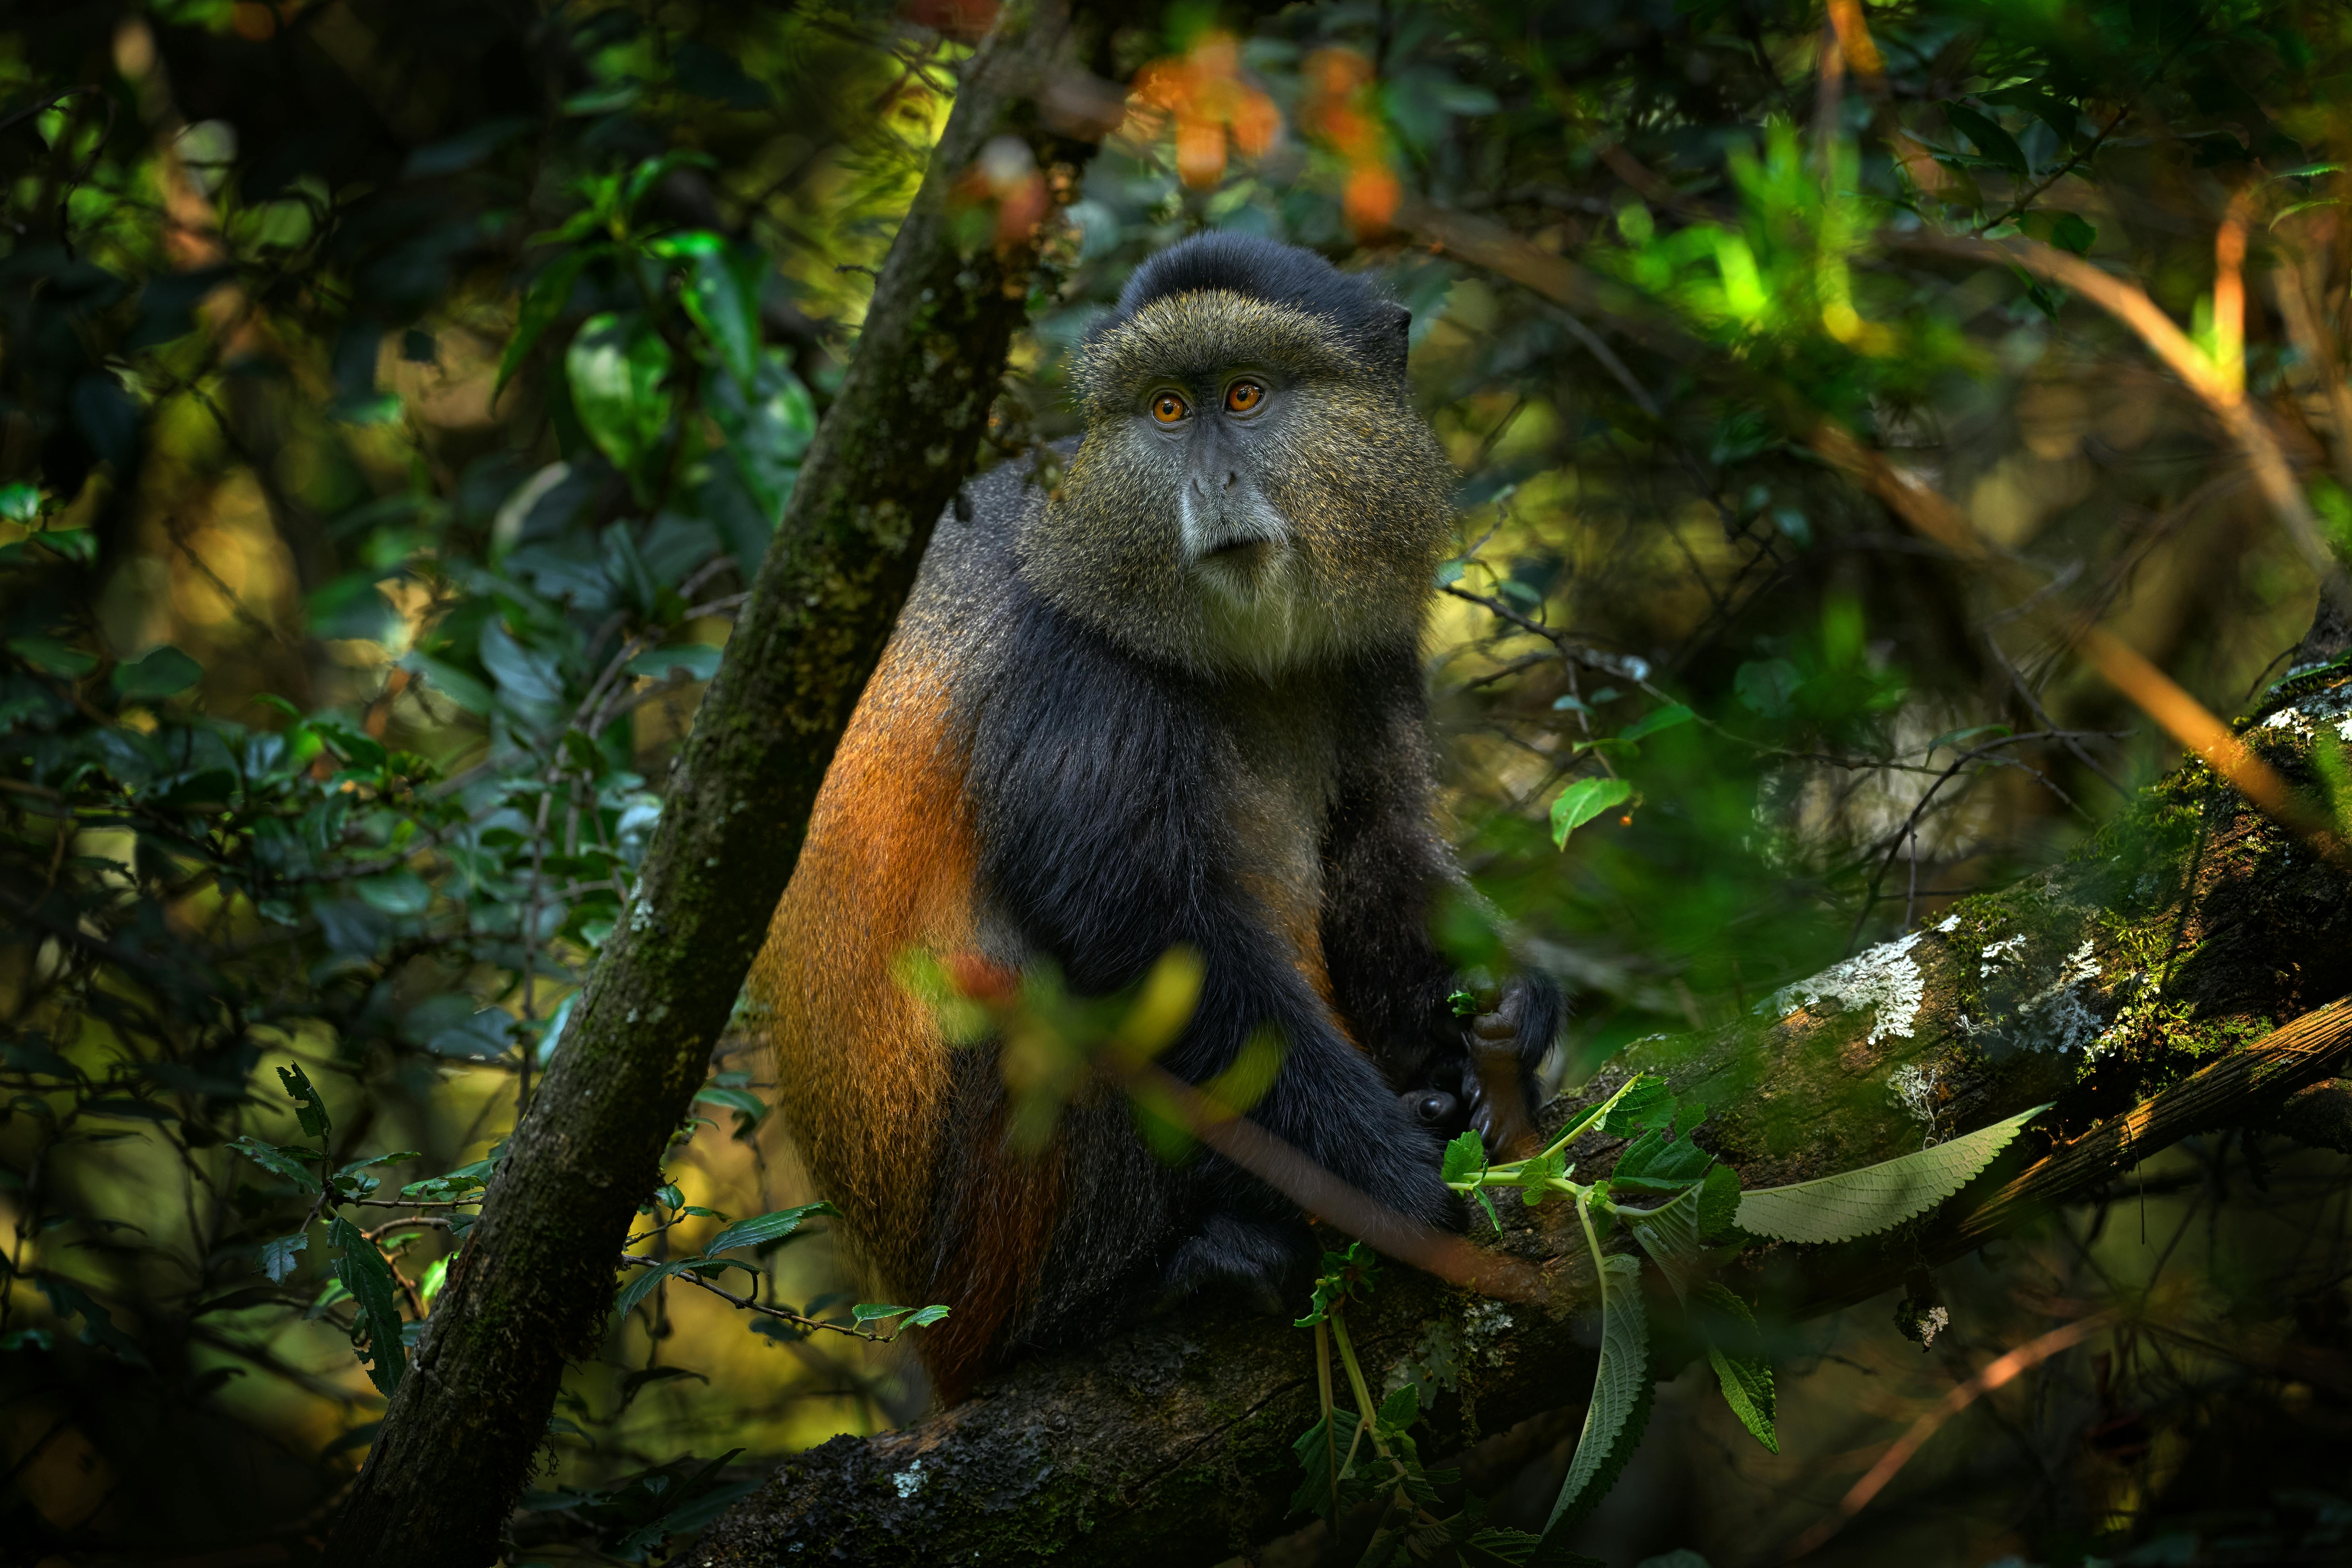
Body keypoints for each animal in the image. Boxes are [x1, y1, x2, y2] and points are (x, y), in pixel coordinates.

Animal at [752, 232, 1561, 1398]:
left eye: (1245, 394)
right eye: (1166, 410)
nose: (1212, 480)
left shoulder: (1370, 649)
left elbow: (1379, 854)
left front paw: (1512, 1014)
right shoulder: (1071, 671)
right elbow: (1144, 929)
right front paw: (1394, 1183)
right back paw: (1129, 1292)